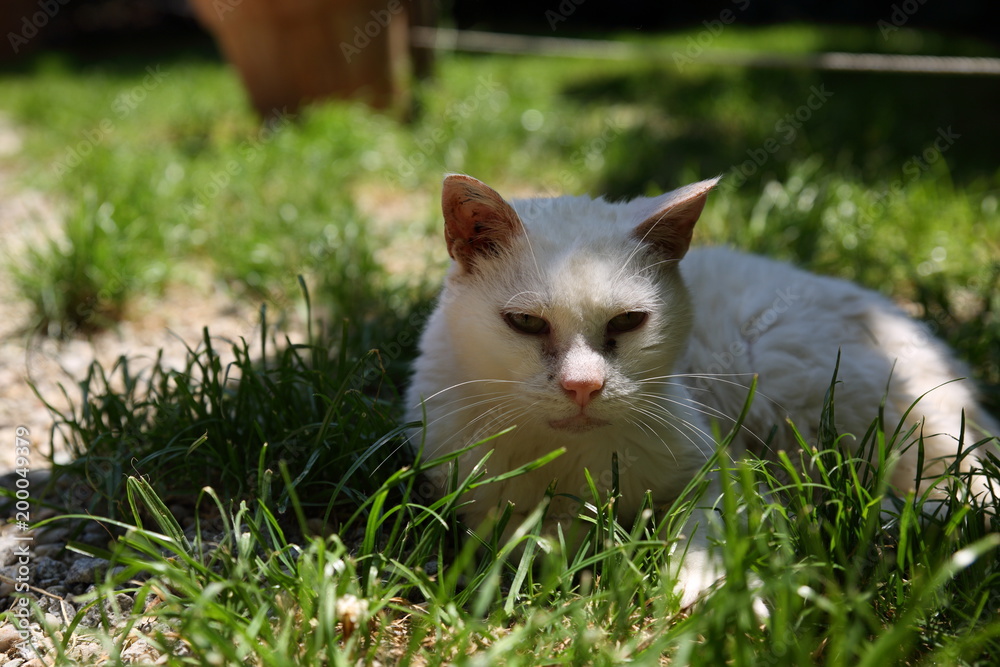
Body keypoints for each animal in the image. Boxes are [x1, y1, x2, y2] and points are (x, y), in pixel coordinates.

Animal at [402, 172, 996, 604]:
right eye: (525, 323)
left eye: (627, 322)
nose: (583, 386)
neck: (573, 458)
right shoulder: (478, 507)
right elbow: (533, 542)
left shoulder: (718, 473)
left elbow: (702, 533)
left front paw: (702, 592)